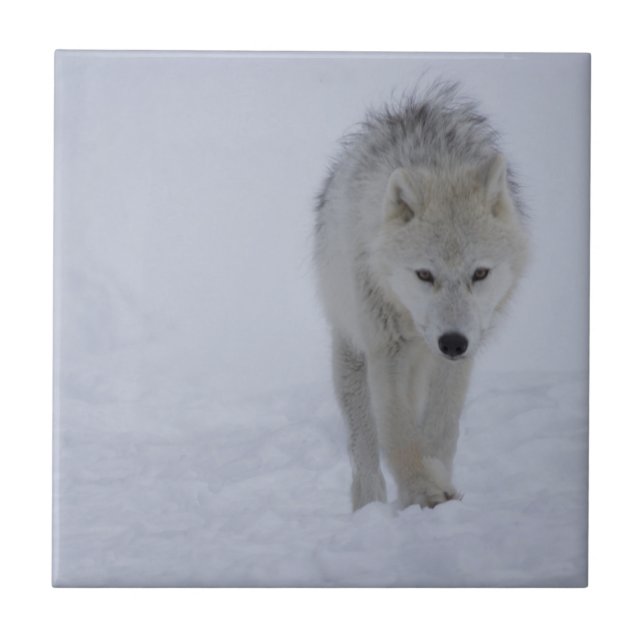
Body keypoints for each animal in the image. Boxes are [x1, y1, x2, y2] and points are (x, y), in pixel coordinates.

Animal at [314, 83, 529, 511]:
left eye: (480, 273)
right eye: (424, 275)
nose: (452, 342)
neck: (440, 167)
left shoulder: (460, 356)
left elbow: (441, 427)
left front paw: (436, 483)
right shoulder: (388, 348)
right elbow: (397, 430)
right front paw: (422, 491)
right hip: (352, 357)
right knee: (365, 448)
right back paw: (370, 506)